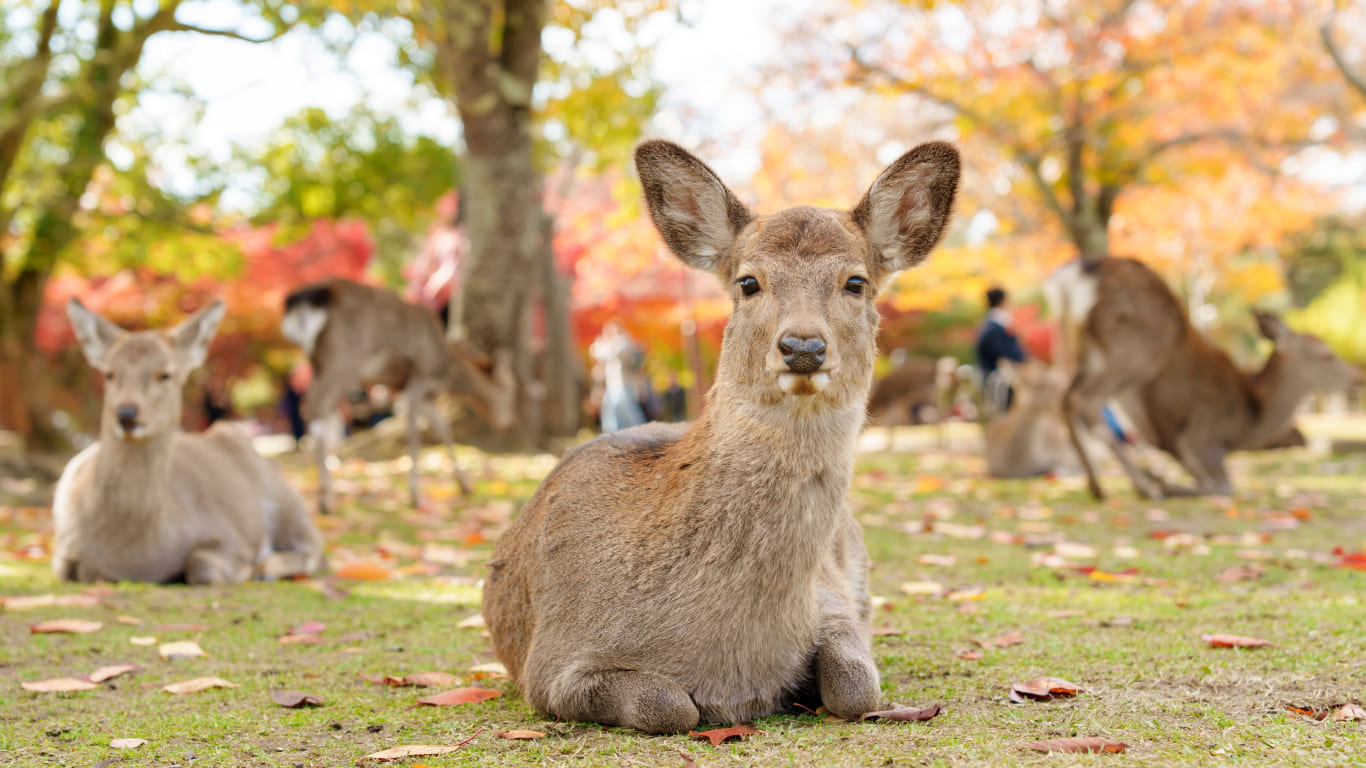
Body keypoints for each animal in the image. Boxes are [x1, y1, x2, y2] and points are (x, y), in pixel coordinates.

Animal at [52, 299, 323, 584]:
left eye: (165, 374)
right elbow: (68, 569)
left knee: (315, 548)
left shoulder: (227, 532)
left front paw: (247, 568)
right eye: (109, 373)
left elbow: (202, 565)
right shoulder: (63, 551)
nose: (126, 414)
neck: (136, 557)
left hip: (288, 503)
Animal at [281, 279, 515, 514]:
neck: (447, 371)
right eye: (511, 389)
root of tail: (300, 299)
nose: (507, 425)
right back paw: (326, 498)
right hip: (343, 358)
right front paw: (415, 495)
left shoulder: (420, 392)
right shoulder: (419, 380)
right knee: (315, 402)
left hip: (317, 361)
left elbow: (443, 427)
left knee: (320, 406)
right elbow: (414, 430)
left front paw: (465, 485)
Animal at [481, 139, 960, 734]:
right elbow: (669, 705)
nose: (803, 346)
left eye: (856, 282)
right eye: (748, 282)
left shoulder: (831, 595)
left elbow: (857, 685)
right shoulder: (550, 663)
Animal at [1047, 256, 1363, 500]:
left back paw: (1099, 487)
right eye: (1326, 354)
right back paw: (1147, 487)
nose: (1358, 376)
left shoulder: (1175, 442)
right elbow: (1222, 487)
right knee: (1086, 400)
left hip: (1080, 347)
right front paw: (1165, 483)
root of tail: (1073, 276)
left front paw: (1164, 480)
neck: (1247, 422)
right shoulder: (1201, 435)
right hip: (1134, 351)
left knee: (1064, 398)